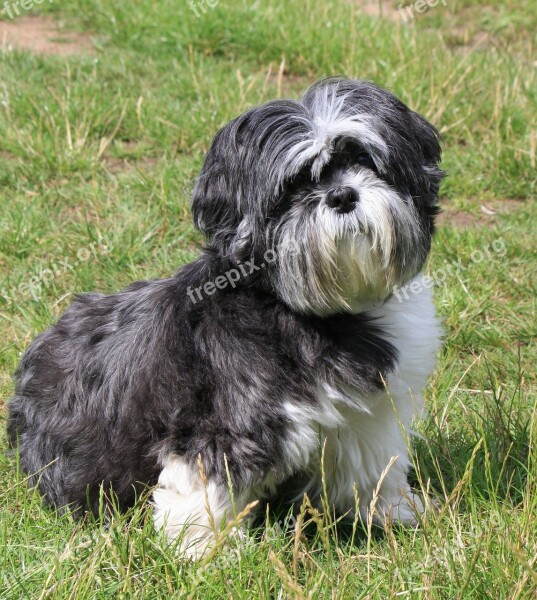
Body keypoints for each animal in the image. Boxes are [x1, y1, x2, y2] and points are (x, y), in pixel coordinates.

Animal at [7, 77, 444, 556]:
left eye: (362, 159)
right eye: (293, 185)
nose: (342, 194)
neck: (315, 311)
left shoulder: (369, 415)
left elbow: (370, 465)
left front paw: (391, 513)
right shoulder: (226, 418)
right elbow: (207, 479)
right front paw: (206, 550)